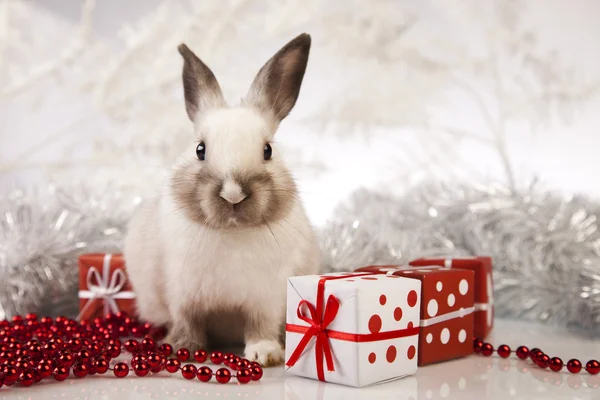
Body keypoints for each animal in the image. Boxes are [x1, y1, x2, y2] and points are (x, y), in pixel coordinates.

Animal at [123, 32, 324, 368]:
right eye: (200, 149)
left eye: (267, 150)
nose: (233, 194)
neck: (231, 232)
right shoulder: (182, 294)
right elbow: (187, 321)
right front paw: (184, 348)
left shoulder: (265, 298)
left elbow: (261, 326)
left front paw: (263, 354)